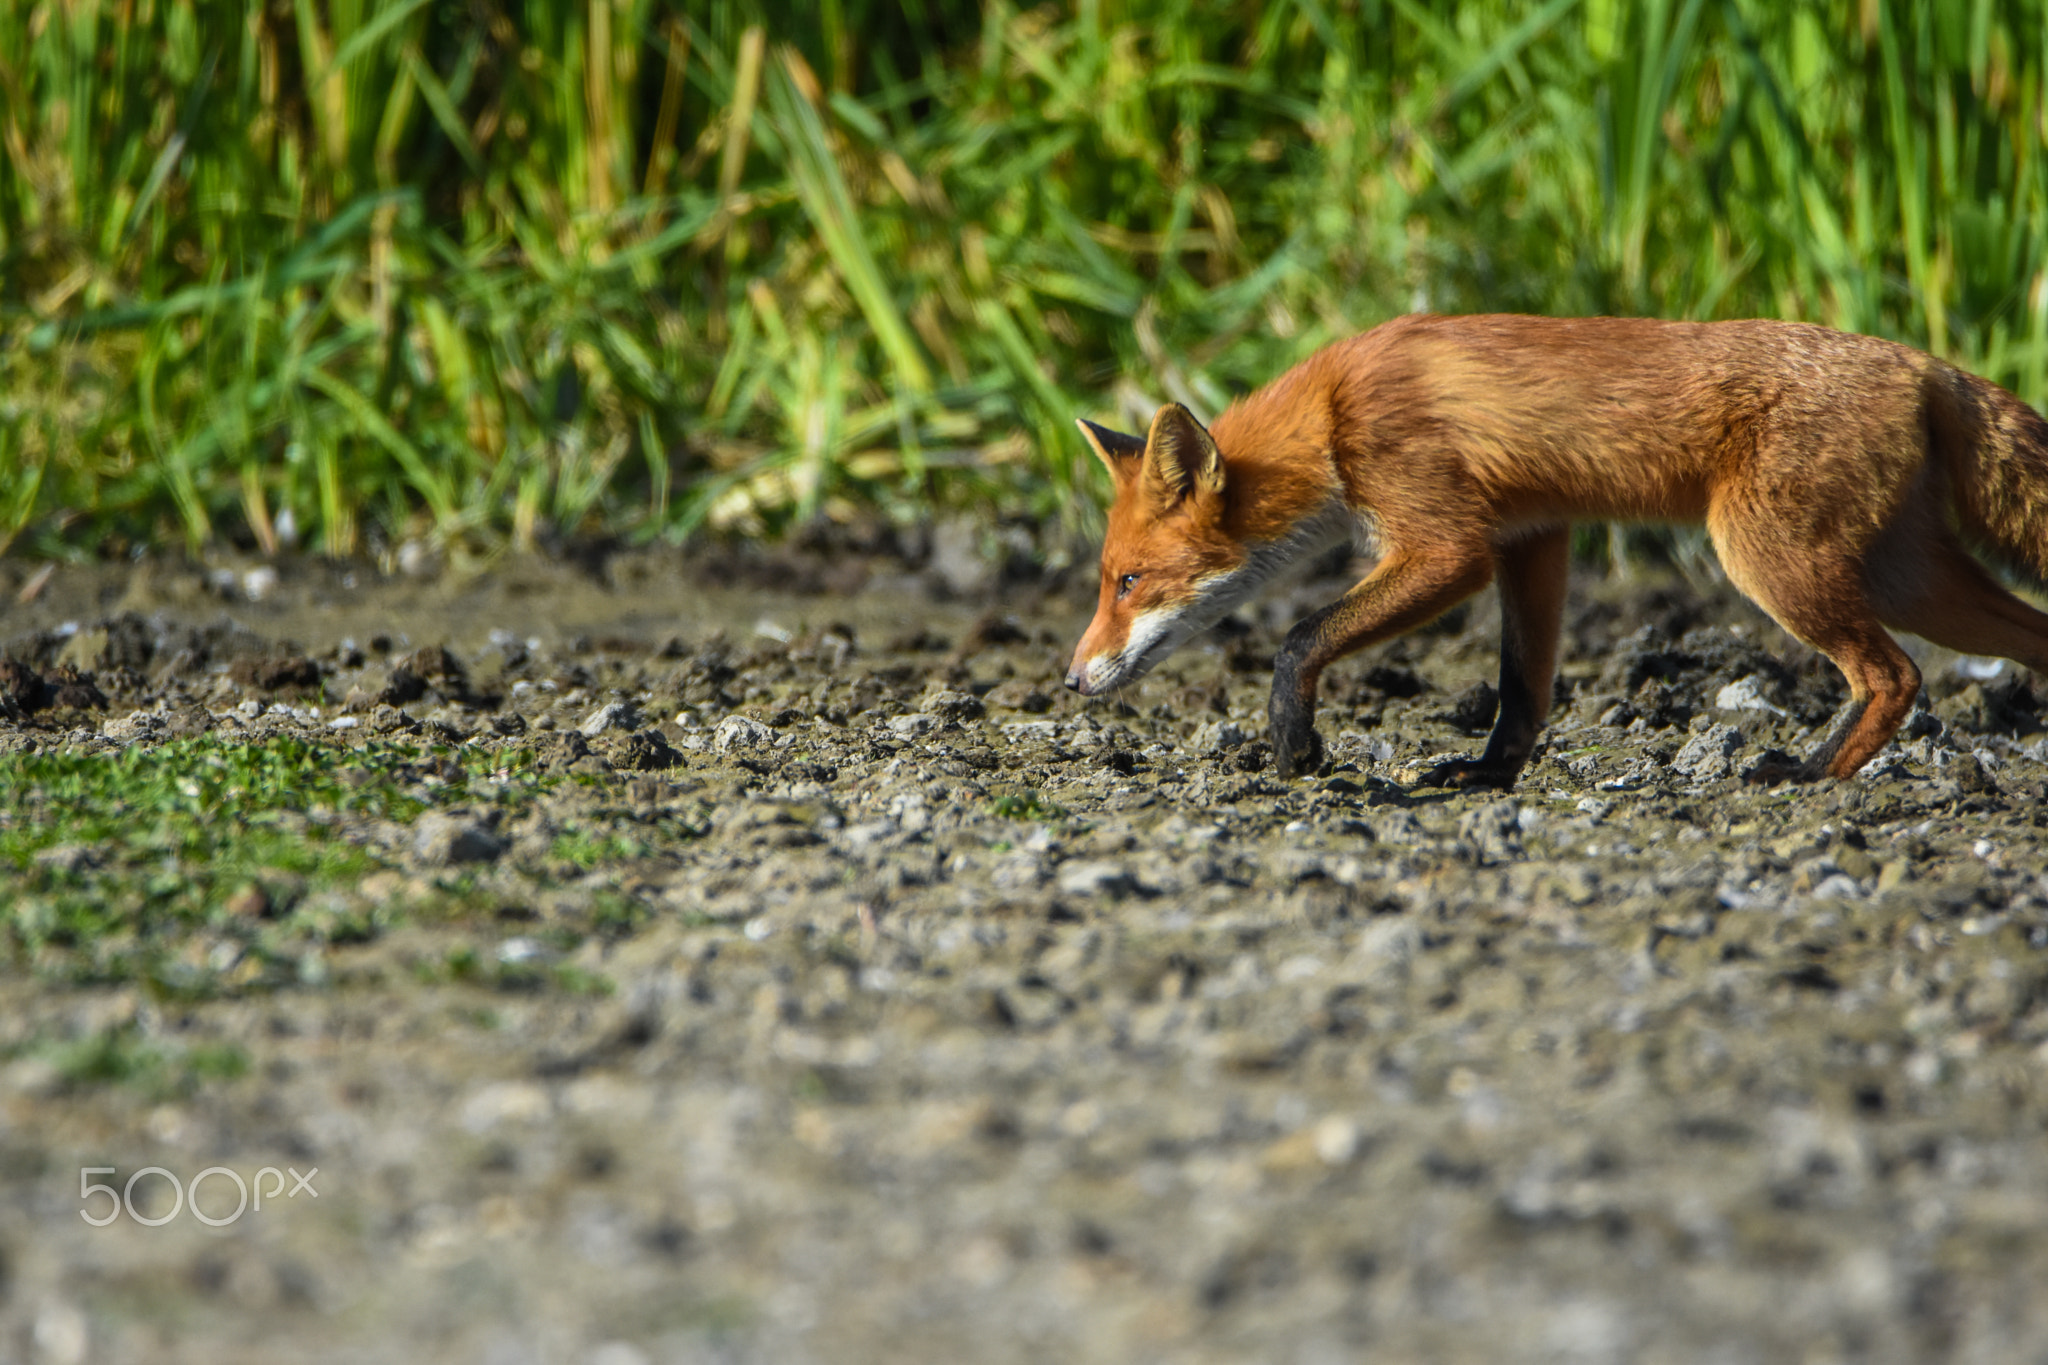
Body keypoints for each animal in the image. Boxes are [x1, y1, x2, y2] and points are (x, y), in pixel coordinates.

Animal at [1064, 313, 2048, 789]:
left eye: (1128, 581)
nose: (1070, 681)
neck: (1334, 414)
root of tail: (1927, 364)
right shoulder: (1532, 537)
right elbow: (1521, 687)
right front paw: (1487, 774)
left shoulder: (1448, 545)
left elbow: (1302, 635)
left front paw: (1294, 742)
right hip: (1914, 583)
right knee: (2019, 637)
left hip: (1774, 563)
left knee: (1892, 676)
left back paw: (1805, 772)